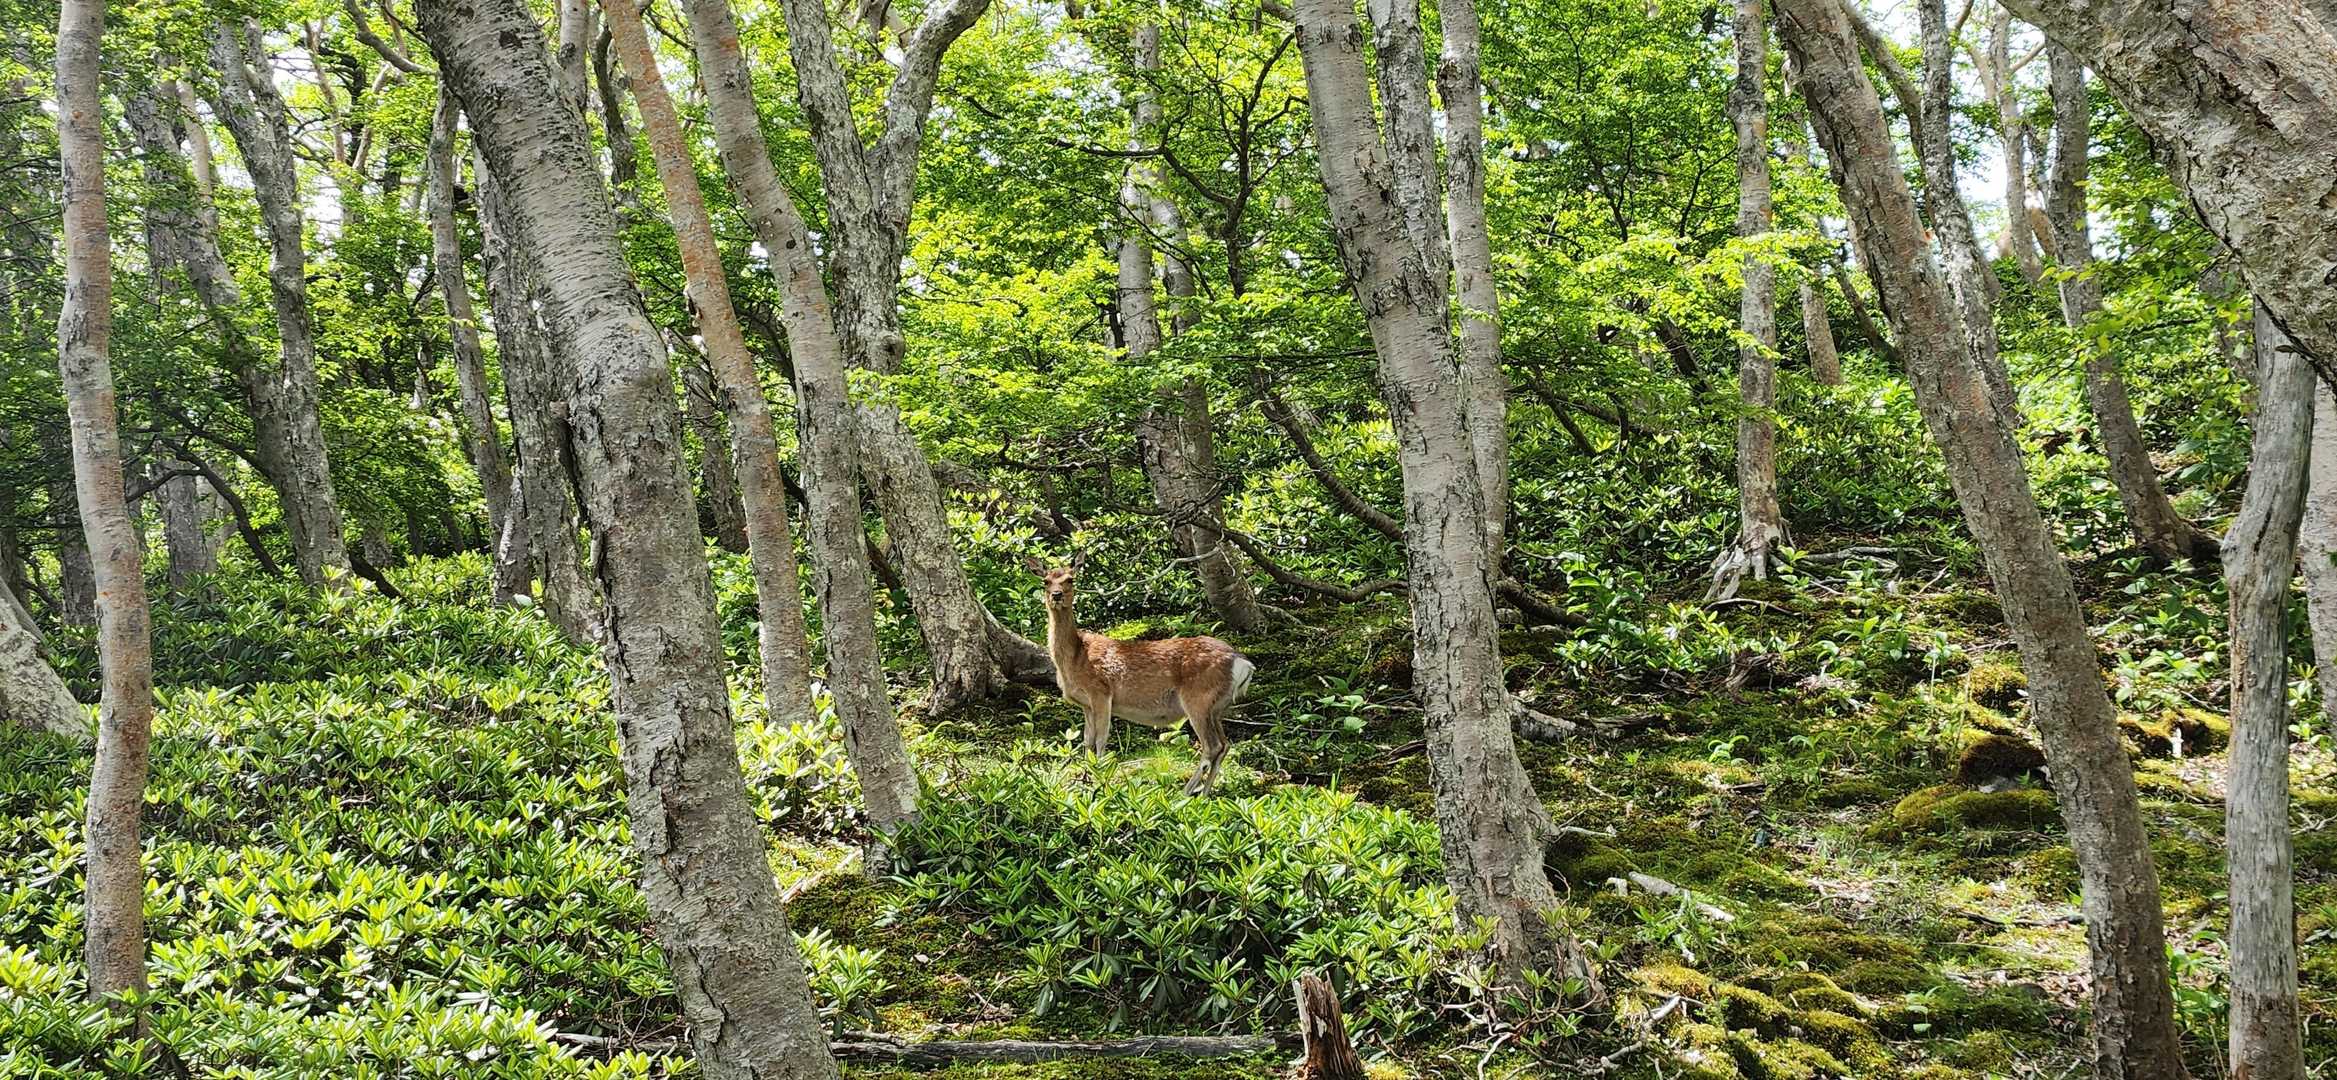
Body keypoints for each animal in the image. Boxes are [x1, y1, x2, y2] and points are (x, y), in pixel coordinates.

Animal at [1024, 555, 1256, 795]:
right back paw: (1204, 794)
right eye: (1046, 581)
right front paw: (1085, 782)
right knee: (1225, 745)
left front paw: (1099, 782)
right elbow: (1087, 741)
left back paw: (1184, 792)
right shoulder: (1085, 704)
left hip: (1199, 698)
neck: (1076, 658)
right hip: (1217, 707)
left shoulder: (1101, 692)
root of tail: (1243, 663)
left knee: (1212, 746)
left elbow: (1100, 740)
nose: (1056, 595)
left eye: (1070, 579)